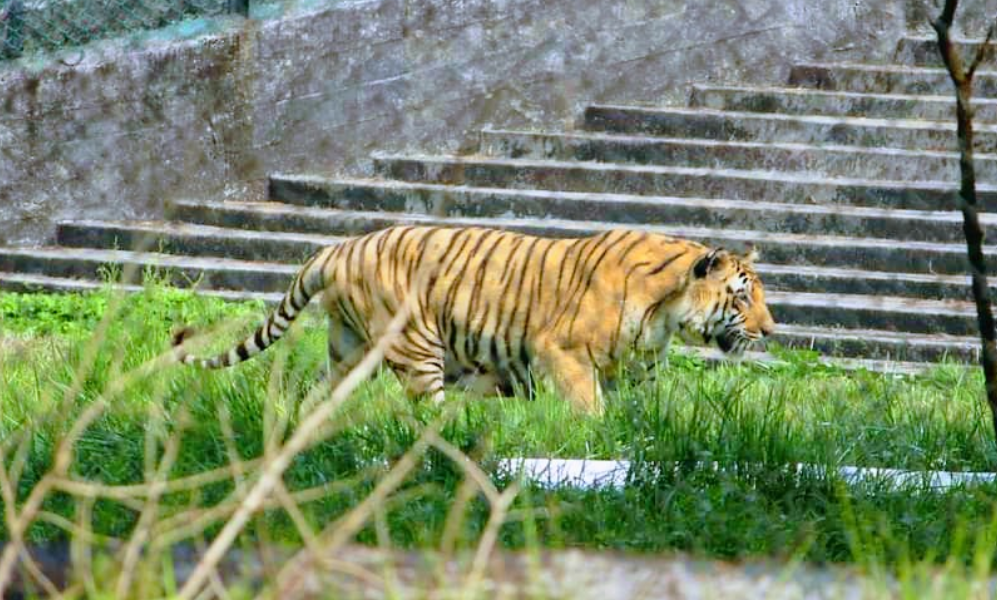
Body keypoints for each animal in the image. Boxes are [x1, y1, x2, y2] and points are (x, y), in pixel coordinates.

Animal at [175, 225, 776, 412]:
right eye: (743, 297)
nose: (771, 330)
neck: (666, 312)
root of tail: (338, 247)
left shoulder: (640, 368)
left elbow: (648, 411)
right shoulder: (561, 353)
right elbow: (589, 410)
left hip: (350, 350)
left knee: (318, 394)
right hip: (414, 345)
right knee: (425, 412)